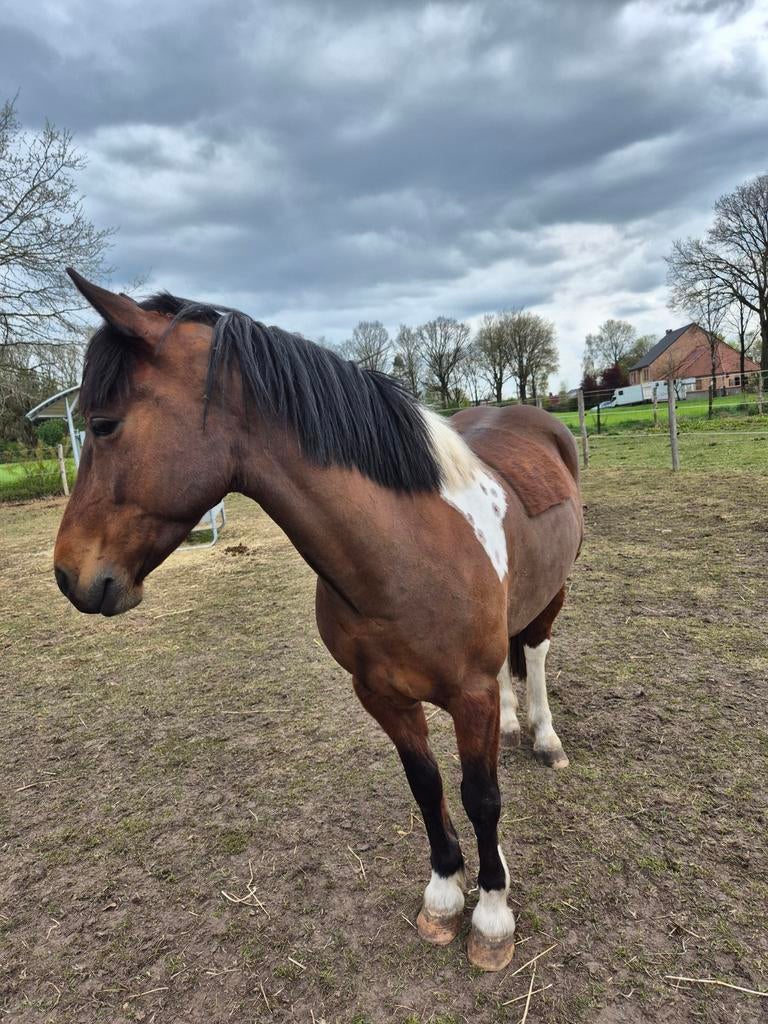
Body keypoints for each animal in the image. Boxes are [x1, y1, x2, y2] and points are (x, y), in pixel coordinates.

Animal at [53, 269, 583, 971]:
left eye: (105, 424)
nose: (67, 575)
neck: (406, 550)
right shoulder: (380, 694)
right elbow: (426, 784)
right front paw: (444, 893)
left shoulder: (467, 695)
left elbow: (481, 797)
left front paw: (492, 915)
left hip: (552, 595)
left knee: (540, 654)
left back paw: (545, 737)